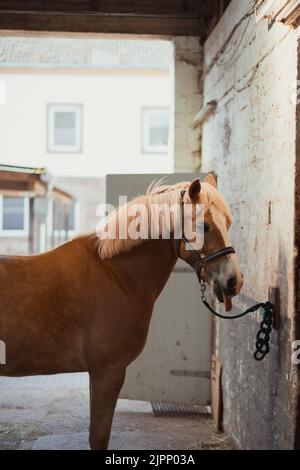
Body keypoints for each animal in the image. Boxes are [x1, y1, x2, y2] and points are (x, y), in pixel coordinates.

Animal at [0, 174, 244, 450]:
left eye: (228, 223)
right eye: (204, 226)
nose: (234, 281)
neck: (116, 274)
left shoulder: (99, 374)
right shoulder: (108, 372)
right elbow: (99, 435)